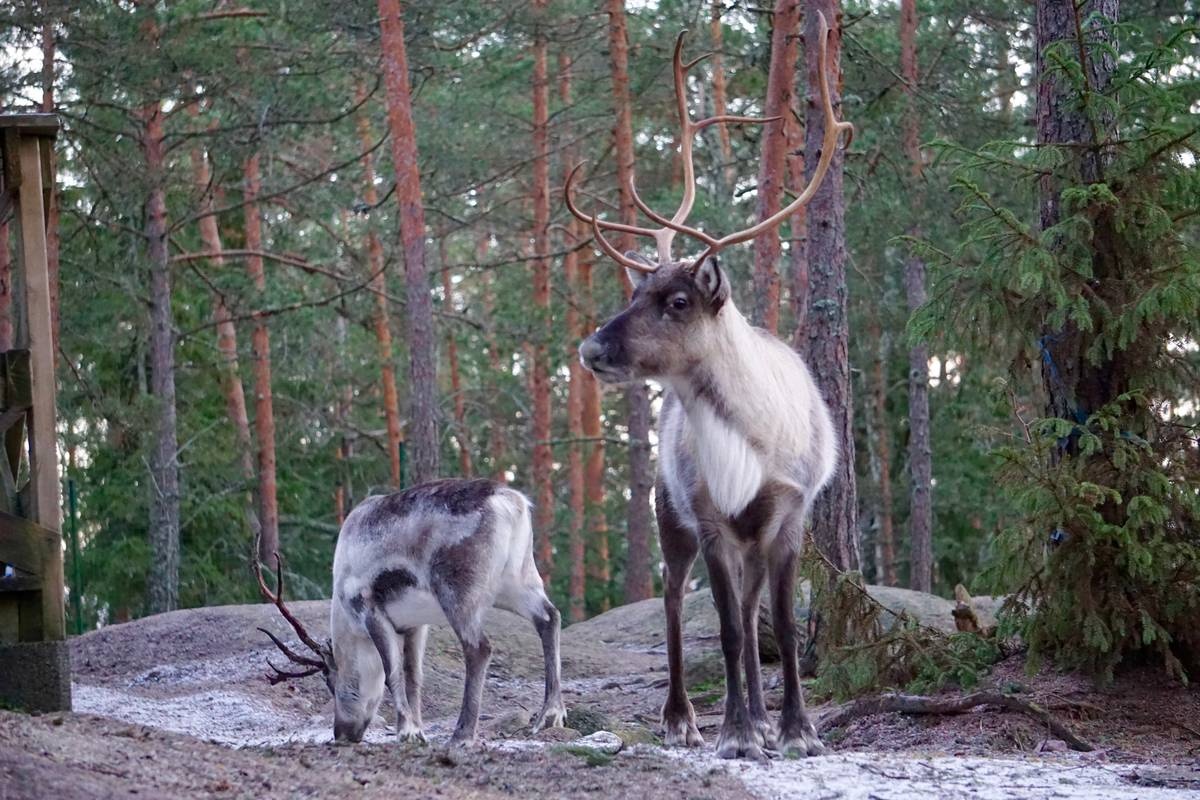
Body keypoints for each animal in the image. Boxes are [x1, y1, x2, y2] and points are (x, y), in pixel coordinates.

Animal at [253, 478, 567, 747]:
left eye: (331, 680)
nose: (341, 733)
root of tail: (511, 502)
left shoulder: (370, 609)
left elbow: (392, 673)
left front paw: (407, 731)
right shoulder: (415, 624)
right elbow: (414, 675)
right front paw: (417, 729)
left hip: (457, 592)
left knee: (479, 647)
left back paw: (462, 735)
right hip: (517, 582)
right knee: (549, 617)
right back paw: (550, 715)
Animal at [564, 13, 853, 761]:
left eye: (677, 301)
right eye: (633, 290)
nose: (590, 348)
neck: (751, 437)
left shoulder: (790, 515)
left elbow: (779, 623)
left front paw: (796, 729)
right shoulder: (713, 518)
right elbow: (720, 630)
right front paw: (736, 733)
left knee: (752, 616)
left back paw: (758, 716)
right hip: (671, 514)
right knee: (674, 601)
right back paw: (684, 718)